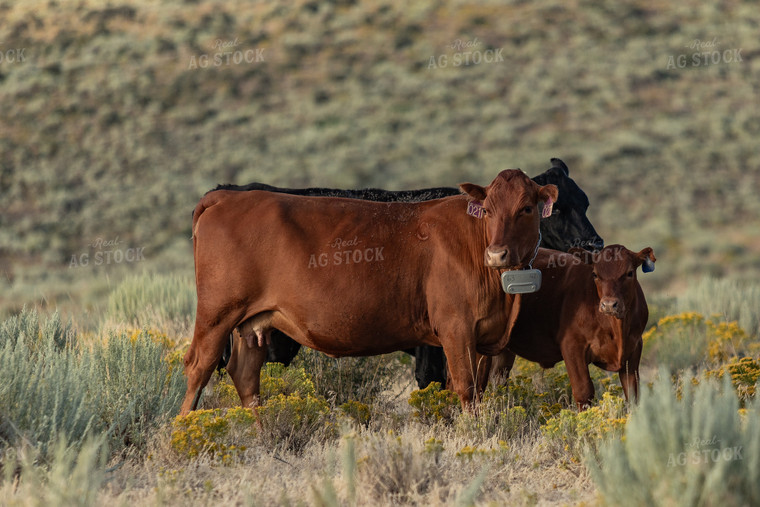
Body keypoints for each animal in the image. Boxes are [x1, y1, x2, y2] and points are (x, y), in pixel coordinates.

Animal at [178, 171, 560, 416]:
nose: (497, 254)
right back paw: (180, 430)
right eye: (488, 209)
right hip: (217, 314)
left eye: (526, 208)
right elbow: (465, 389)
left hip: (254, 322)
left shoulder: (483, 336)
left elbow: (474, 390)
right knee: (198, 366)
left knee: (245, 375)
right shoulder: (456, 329)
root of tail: (226, 195)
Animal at [490, 244, 656, 410]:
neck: (617, 329)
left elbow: (633, 394)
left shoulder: (634, 348)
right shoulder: (572, 346)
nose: (609, 304)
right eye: (595, 274)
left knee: (498, 379)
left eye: (629, 273)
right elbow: (584, 392)